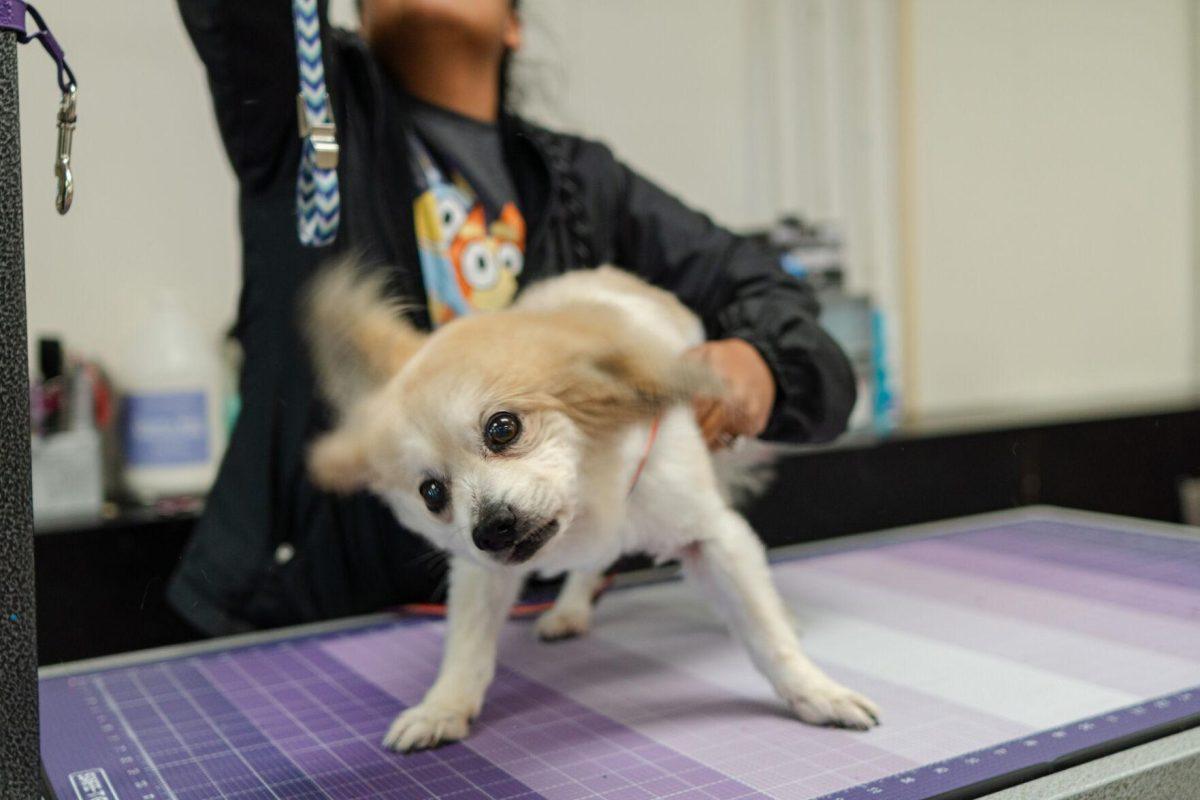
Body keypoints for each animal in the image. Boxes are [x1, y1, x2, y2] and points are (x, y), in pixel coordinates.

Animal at [304, 261, 878, 753]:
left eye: (502, 428)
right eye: (431, 494)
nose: (491, 528)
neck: (585, 505)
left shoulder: (712, 535)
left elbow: (765, 636)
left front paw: (815, 692)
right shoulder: (479, 571)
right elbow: (466, 645)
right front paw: (443, 707)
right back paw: (569, 609)